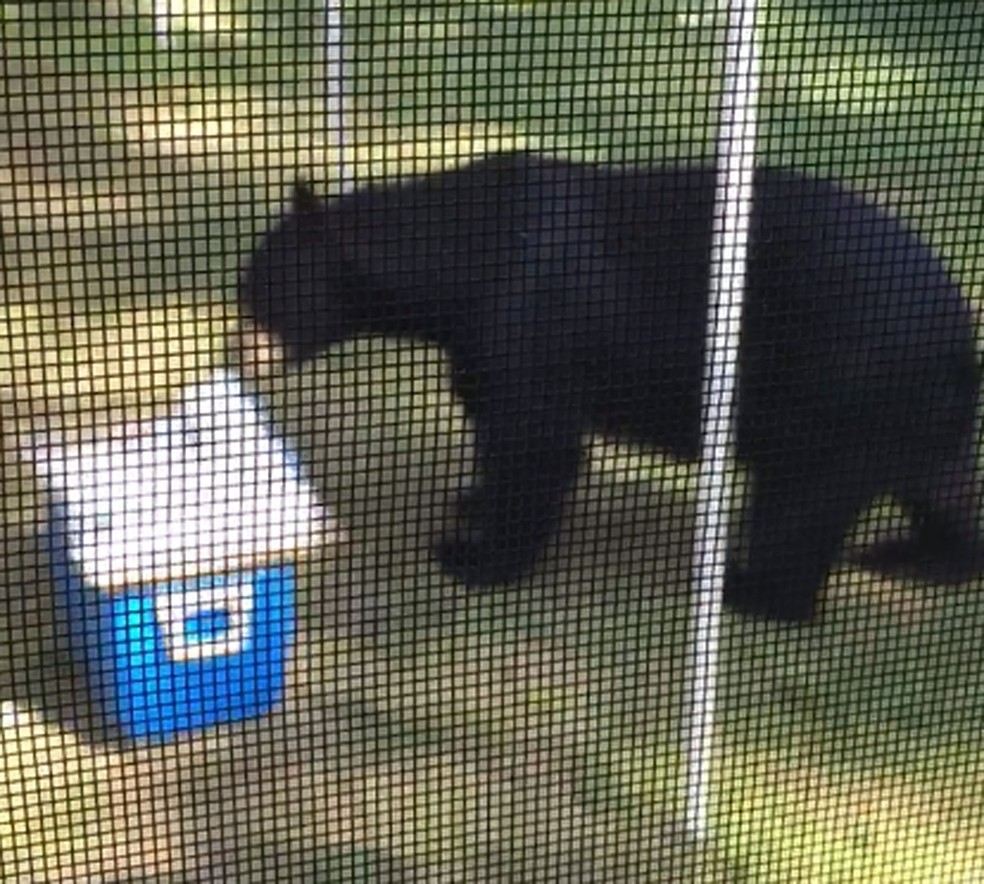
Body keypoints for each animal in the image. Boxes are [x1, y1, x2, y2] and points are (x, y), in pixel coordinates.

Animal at [232, 150, 983, 623]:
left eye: (259, 293)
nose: (237, 353)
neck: (460, 255)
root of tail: (957, 330)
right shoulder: (478, 338)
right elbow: (492, 416)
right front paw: (471, 500)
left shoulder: (531, 316)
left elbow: (536, 439)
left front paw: (475, 556)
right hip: (909, 407)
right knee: (939, 481)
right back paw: (925, 554)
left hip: (843, 384)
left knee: (800, 501)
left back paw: (749, 588)